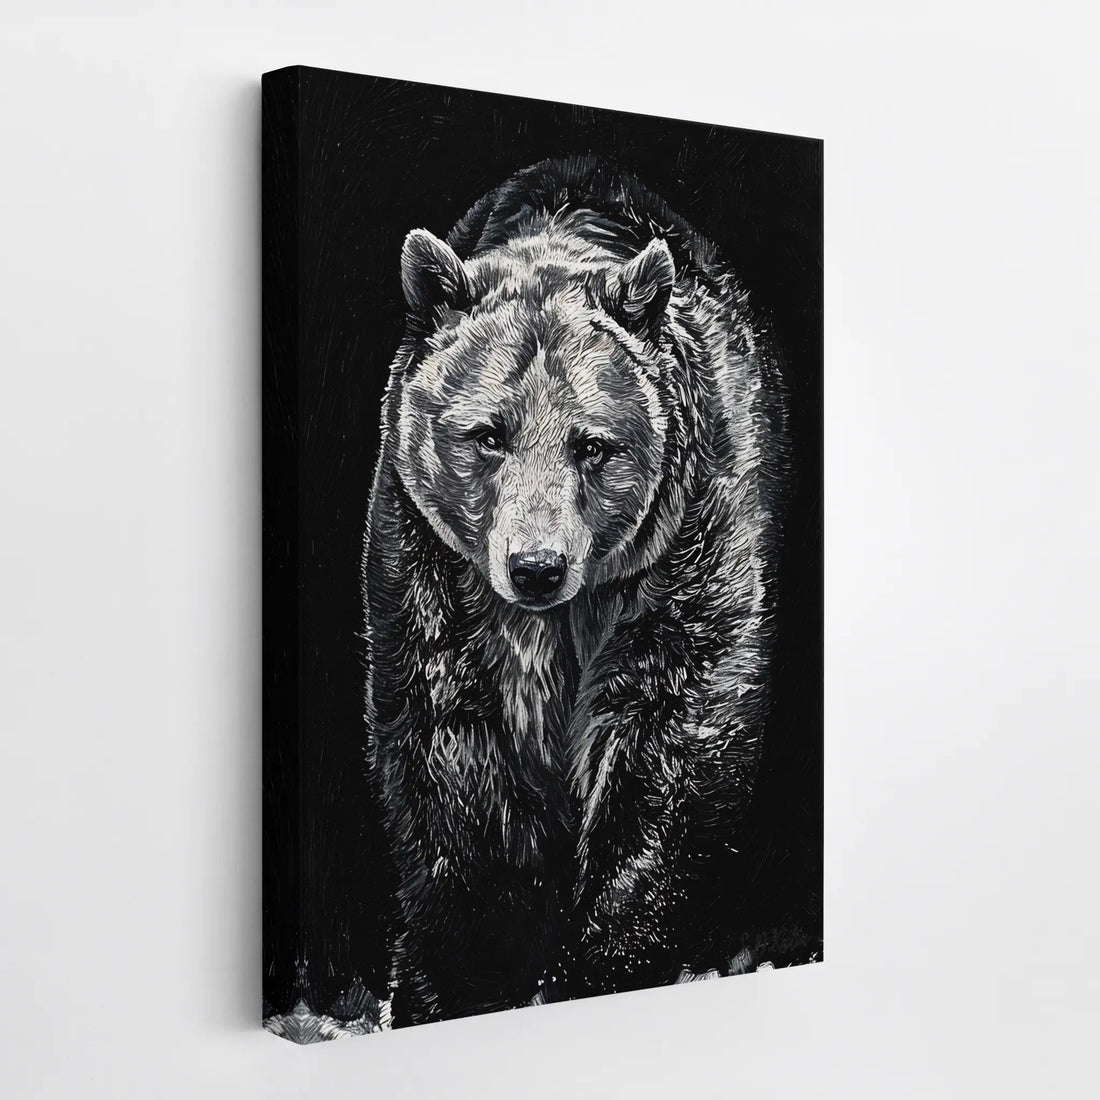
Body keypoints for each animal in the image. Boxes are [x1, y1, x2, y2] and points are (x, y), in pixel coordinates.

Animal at [362, 155, 788, 1026]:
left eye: (594, 445)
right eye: (487, 434)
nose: (536, 566)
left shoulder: (685, 551)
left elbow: (668, 747)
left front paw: (597, 963)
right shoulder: (428, 564)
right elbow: (450, 760)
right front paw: (454, 977)